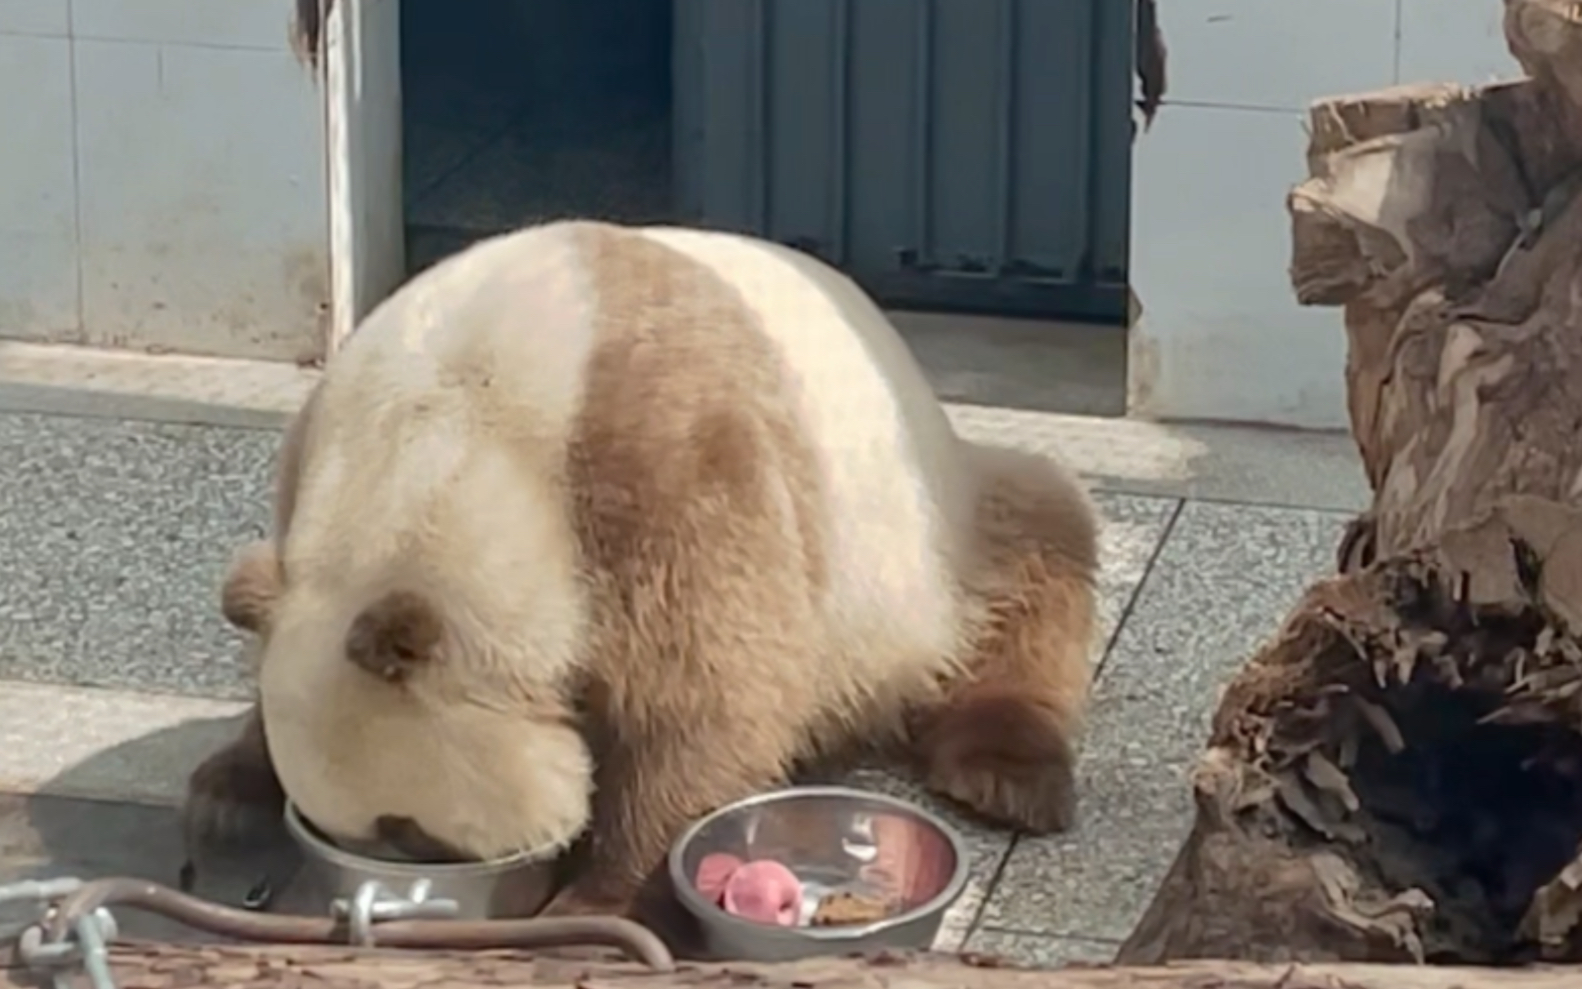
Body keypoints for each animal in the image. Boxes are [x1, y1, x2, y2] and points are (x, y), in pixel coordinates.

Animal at [185, 219, 1101, 911]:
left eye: (410, 827)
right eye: (362, 831)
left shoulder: (666, 473)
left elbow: (709, 703)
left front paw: (595, 900)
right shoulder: (311, 467)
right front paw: (228, 791)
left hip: (914, 526)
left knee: (1040, 537)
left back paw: (1004, 770)